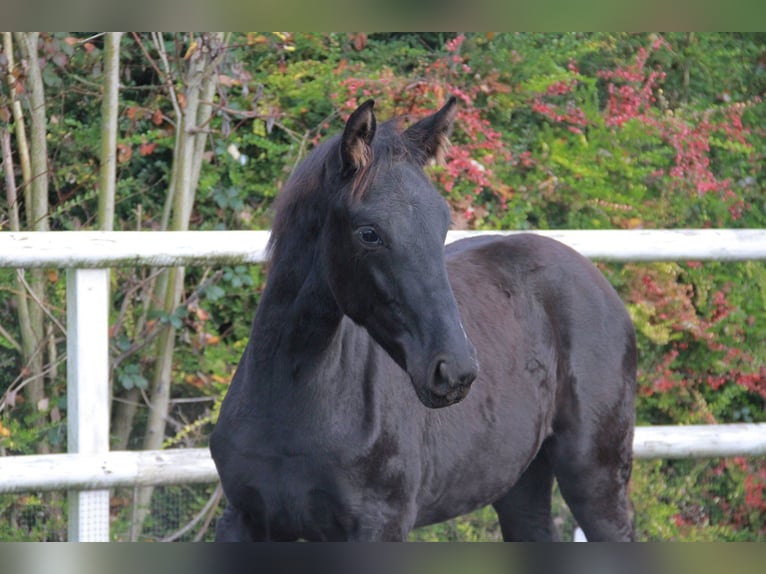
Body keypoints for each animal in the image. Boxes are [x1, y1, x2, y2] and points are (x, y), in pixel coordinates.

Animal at [210, 97, 637, 541]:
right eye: (369, 233)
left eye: (442, 225)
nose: (456, 371)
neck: (290, 400)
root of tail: (596, 280)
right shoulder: (245, 519)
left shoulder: (380, 526)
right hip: (521, 483)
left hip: (596, 478)